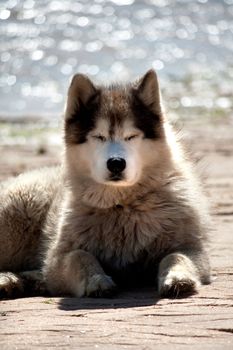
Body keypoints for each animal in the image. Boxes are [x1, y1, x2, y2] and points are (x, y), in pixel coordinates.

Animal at [0, 70, 211, 298]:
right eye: (99, 137)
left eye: (131, 136)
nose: (116, 163)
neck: (122, 207)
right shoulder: (57, 259)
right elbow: (80, 256)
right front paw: (97, 280)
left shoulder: (193, 248)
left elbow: (175, 256)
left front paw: (178, 278)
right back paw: (8, 279)